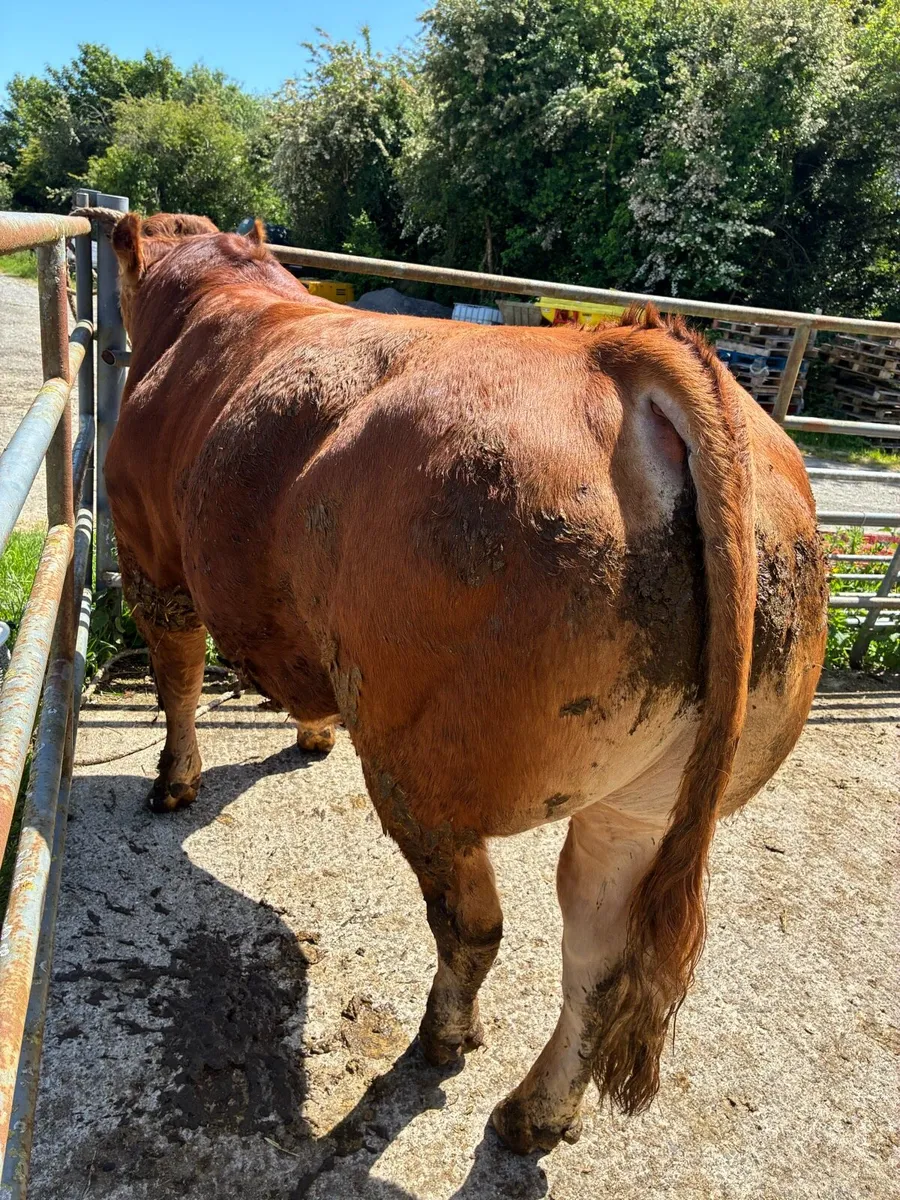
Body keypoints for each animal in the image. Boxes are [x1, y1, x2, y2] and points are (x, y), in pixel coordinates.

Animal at [88, 210, 827, 1154]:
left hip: (423, 766)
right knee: (597, 955)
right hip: (643, 806)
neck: (218, 292)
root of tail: (623, 351)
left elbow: (178, 680)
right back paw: (531, 1114)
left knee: (474, 924)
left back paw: (443, 1040)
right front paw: (309, 733)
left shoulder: (151, 556)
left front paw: (174, 782)